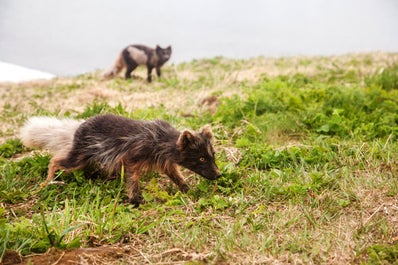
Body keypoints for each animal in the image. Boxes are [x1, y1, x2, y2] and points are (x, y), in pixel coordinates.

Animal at [20, 113, 221, 204]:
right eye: (201, 159)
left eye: (212, 156)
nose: (219, 175)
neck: (162, 140)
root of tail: (77, 128)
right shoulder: (133, 156)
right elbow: (133, 179)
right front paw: (135, 200)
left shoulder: (164, 162)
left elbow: (176, 176)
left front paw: (187, 190)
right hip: (80, 156)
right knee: (55, 161)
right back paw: (48, 181)